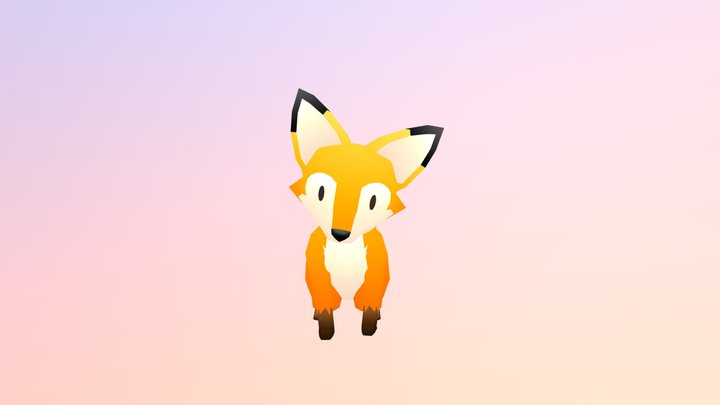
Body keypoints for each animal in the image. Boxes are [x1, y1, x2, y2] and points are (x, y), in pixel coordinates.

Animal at [289, 89, 443, 340]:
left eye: (372, 201)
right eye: (321, 192)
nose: (339, 233)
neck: (344, 252)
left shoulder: (376, 270)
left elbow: (371, 306)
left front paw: (370, 326)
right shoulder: (317, 270)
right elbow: (324, 308)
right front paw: (325, 330)